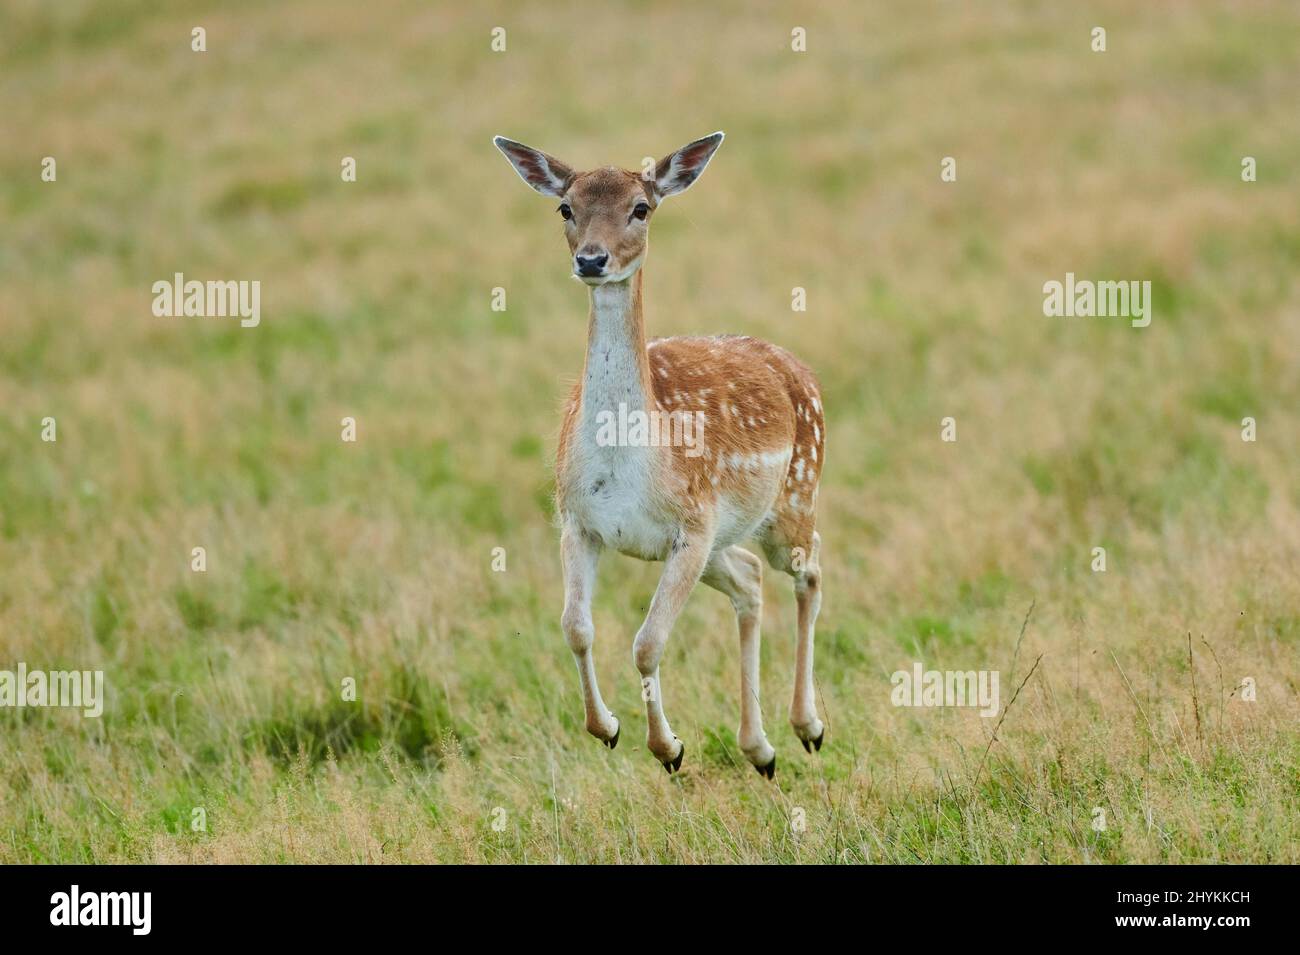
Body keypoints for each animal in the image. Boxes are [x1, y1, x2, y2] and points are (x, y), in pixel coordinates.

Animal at [491, 132, 826, 779]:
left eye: (641, 208)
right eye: (565, 207)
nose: (591, 260)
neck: (630, 462)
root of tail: (798, 367)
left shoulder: (691, 524)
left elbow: (646, 643)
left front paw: (667, 748)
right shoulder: (576, 521)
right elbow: (575, 627)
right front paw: (608, 729)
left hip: (794, 496)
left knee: (810, 573)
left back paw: (809, 728)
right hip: (722, 540)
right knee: (750, 579)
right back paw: (761, 750)